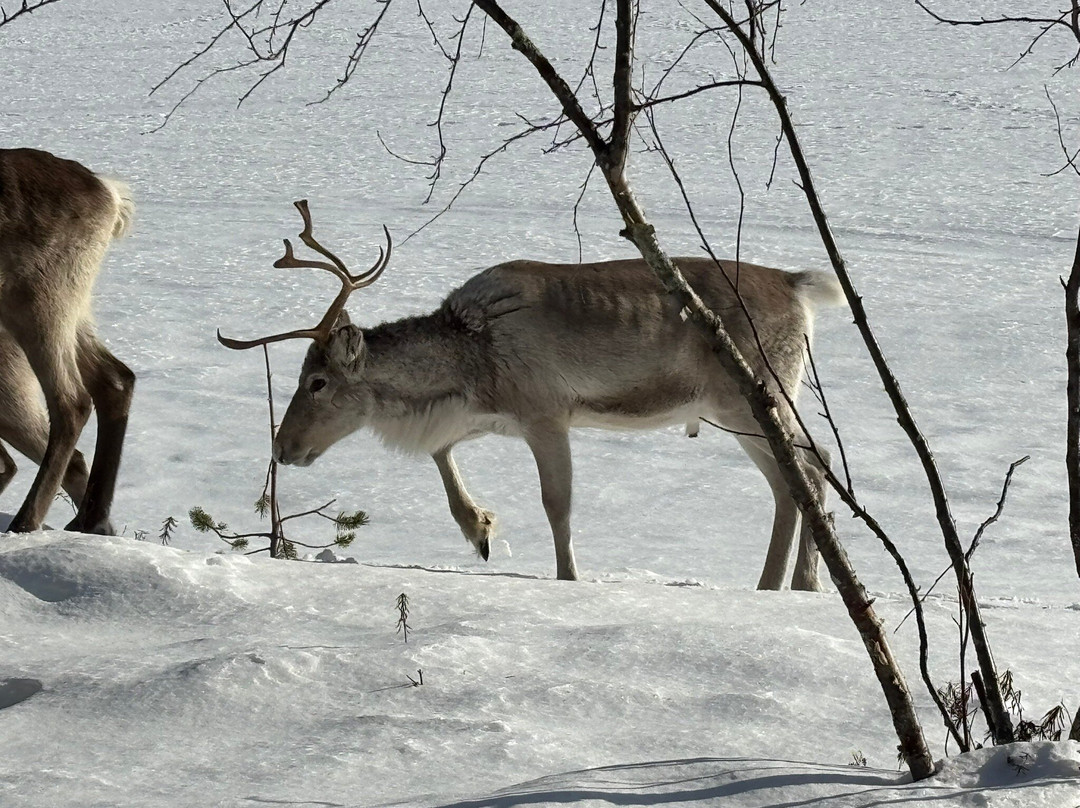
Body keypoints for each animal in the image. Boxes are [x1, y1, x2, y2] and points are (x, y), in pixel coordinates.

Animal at [0, 148, 136, 535]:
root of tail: (109, 193)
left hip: (40, 301)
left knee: (72, 401)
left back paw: (26, 523)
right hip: (73, 306)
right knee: (115, 379)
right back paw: (93, 521)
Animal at [219, 200, 843, 590]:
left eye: (318, 382)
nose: (282, 448)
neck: (469, 362)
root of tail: (799, 287)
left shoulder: (547, 413)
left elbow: (557, 505)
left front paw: (567, 579)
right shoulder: (489, 415)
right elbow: (439, 453)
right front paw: (480, 530)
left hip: (753, 394)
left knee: (811, 466)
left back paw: (789, 584)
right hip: (736, 408)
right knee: (796, 479)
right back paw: (784, 585)